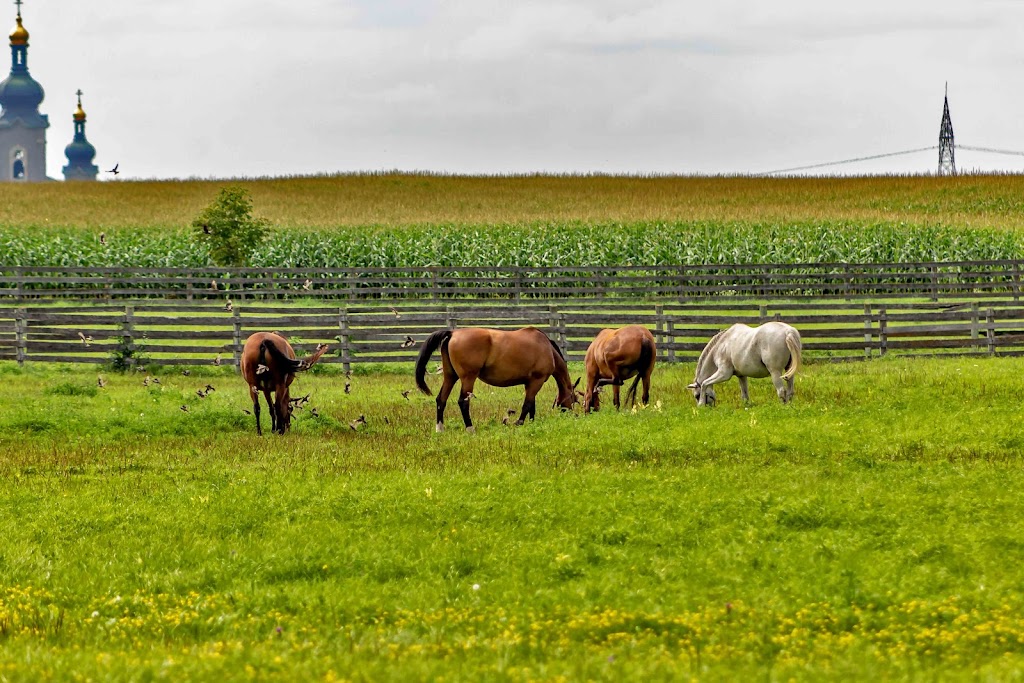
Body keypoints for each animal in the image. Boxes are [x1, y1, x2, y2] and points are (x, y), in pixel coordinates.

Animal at [413, 327, 577, 432]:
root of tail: (452, 333)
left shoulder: (530, 383)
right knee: (463, 402)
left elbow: (532, 406)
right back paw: (470, 429)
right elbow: (527, 405)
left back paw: (440, 429)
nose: (572, 415)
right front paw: (519, 423)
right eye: (574, 399)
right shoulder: (537, 381)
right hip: (468, 378)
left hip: (450, 376)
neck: (546, 347)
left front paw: (531, 423)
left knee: (441, 399)